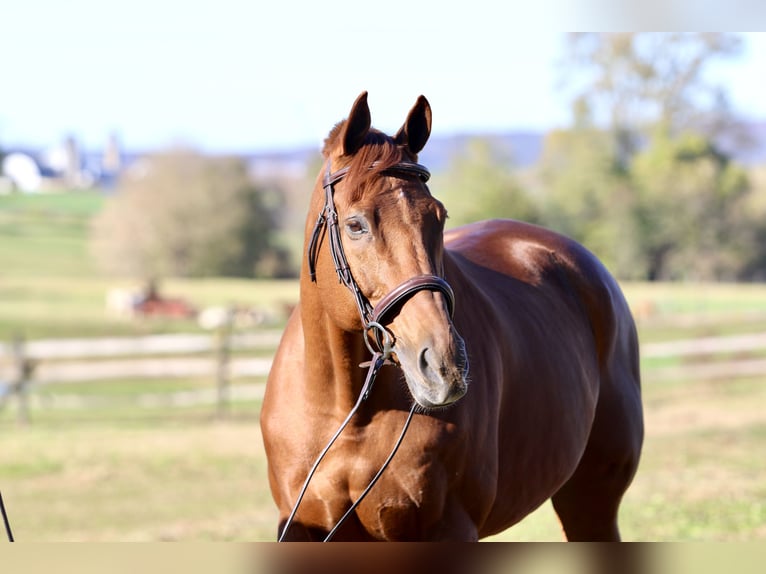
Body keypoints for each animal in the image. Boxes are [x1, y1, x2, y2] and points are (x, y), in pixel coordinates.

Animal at [260, 92, 644, 541]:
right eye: (355, 225)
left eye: (438, 217)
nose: (444, 365)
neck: (347, 411)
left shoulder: (449, 528)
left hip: (590, 501)